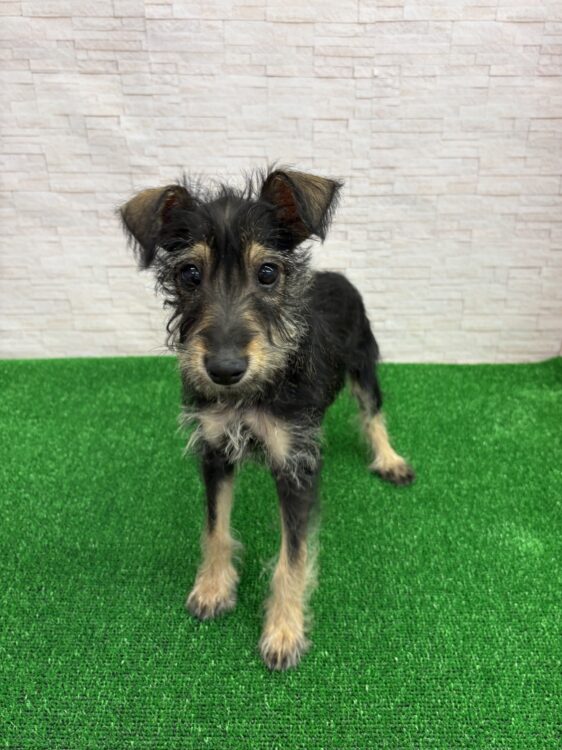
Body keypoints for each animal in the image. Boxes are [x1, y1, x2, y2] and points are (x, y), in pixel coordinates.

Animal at [119, 168, 414, 671]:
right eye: (189, 273)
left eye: (268, 272)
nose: (224, 369)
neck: (253, 392)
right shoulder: (215, 449)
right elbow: (215, 527)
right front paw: (213, 589)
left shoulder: (295, 466)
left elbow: (291, 559)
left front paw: (283, 632)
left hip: (364, 362)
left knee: (372, 413)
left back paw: (389, 460)